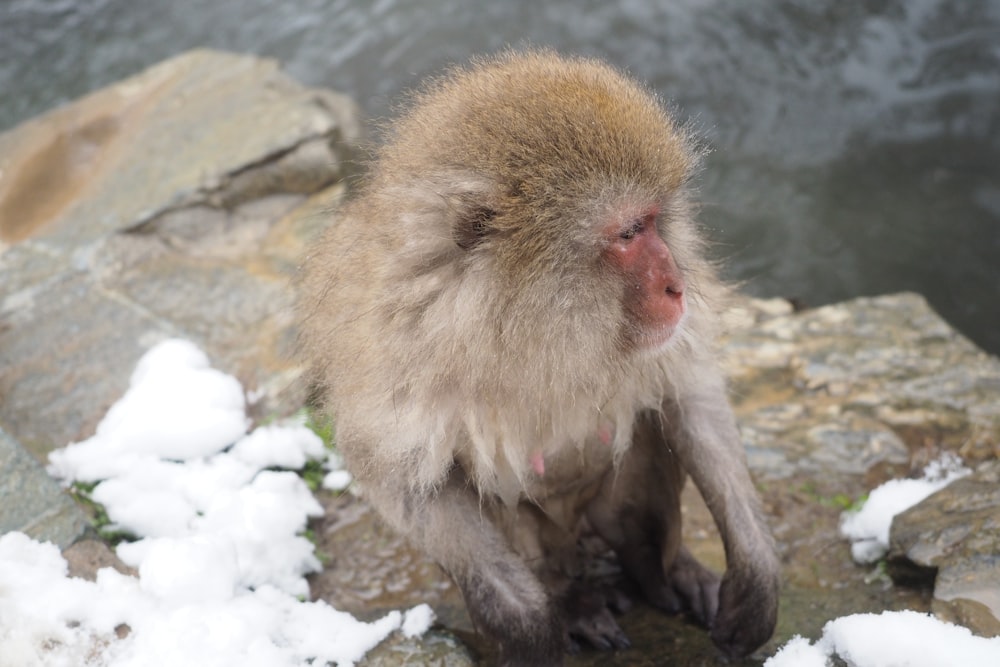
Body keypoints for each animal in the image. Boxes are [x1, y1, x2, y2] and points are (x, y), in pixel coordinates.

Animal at [296, 49, 780, 664]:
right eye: (629, 233)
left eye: (654, 220)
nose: (678, 286)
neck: (524, 328)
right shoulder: (391, 359)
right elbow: (410, 487)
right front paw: (532, 632)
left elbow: (689, 394)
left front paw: (757, 578)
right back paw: (576, 602)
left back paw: (661, 572)